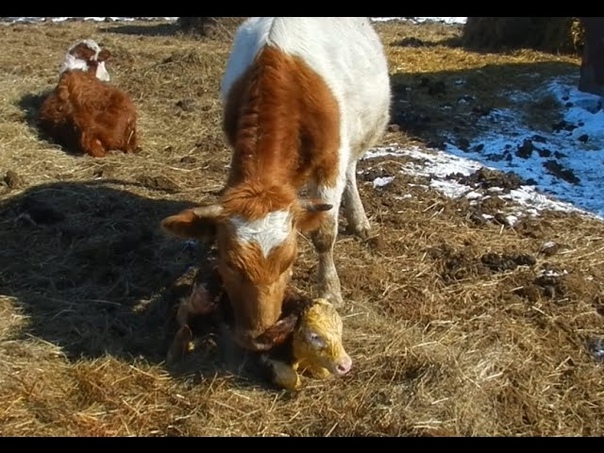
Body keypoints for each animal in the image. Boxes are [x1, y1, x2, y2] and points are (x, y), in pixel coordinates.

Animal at [160, 16, 392, 350]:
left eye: (289, 262)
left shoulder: (331, 159)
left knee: (350, 171)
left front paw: (330, 291)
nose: (259, 337)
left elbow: (324, 234)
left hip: (360, 136)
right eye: (229, 264)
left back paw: (359, 220)